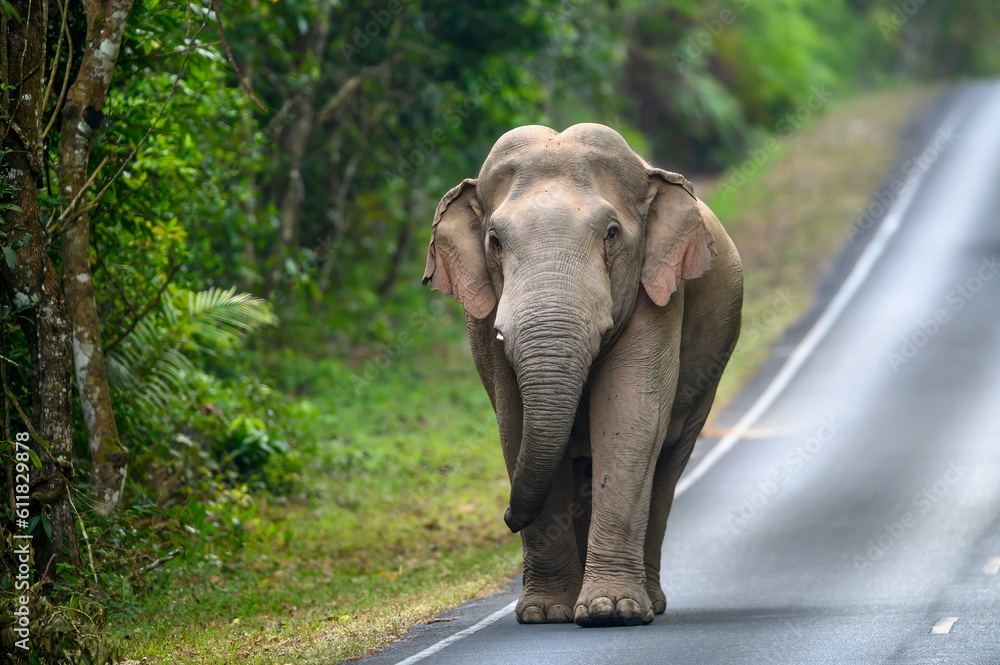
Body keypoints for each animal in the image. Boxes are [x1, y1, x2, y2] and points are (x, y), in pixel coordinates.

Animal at [422, 123, 743, 627]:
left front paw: (613, 611)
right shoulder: (485, 317)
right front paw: (545, 613)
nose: (508, 517)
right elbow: (514, 427)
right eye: (495, 241)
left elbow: (628, 420)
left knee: (666, 466)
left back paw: (650, 602)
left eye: (611, 234)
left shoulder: (658, 293)